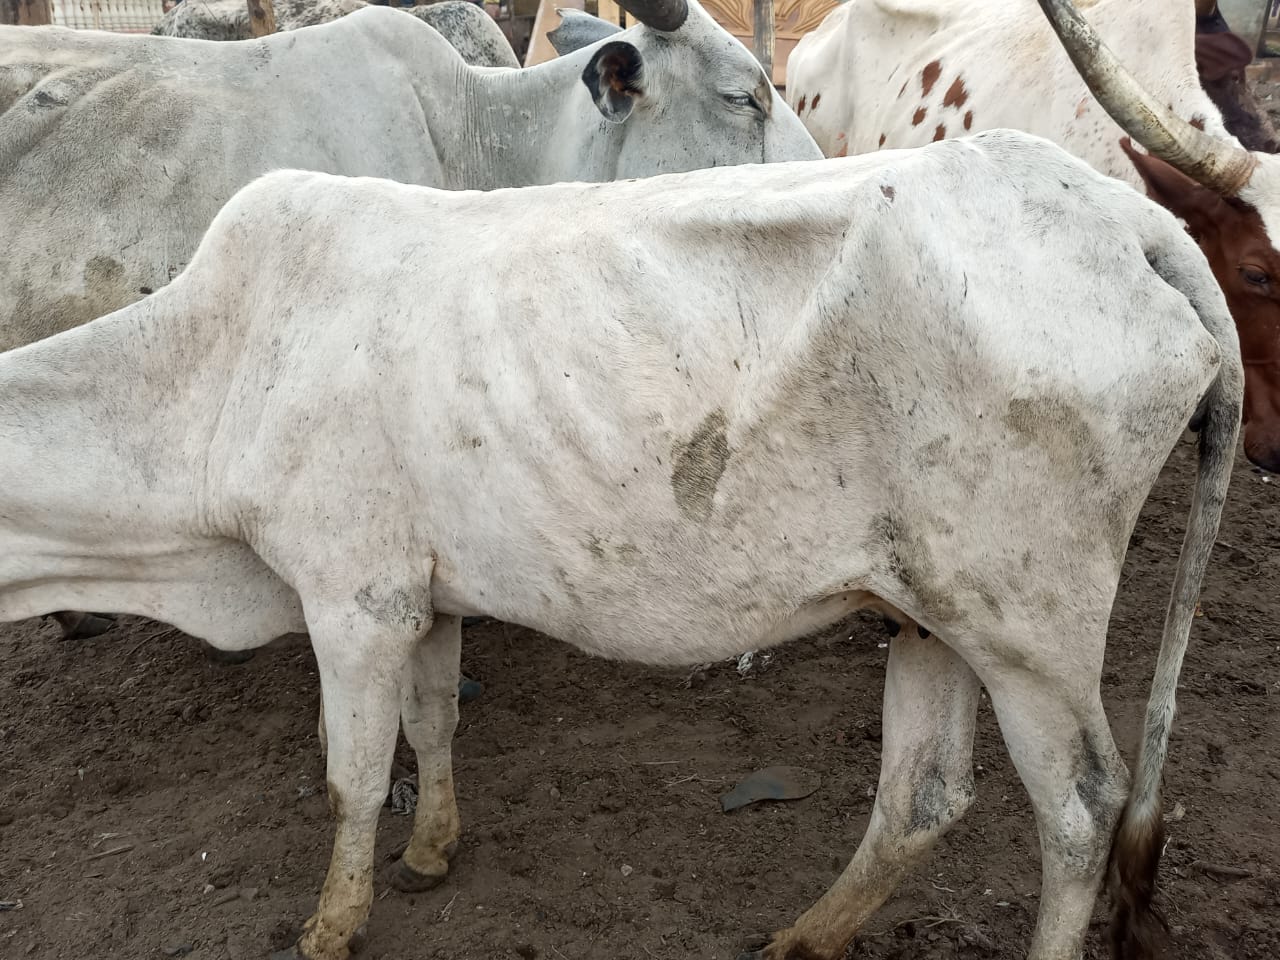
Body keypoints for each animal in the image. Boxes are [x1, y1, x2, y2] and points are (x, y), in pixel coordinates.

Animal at [0, 128, 1241, 960]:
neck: (213, 366)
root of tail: (1128, 218)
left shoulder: (352, 599)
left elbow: (350, 776)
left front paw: (331, 922)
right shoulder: (427, 596)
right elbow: (432, 724)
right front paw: (432, 850)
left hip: (1027, 622)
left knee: (1079, 814)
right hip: (927, 609)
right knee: (923, 797)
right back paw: (803, 935)